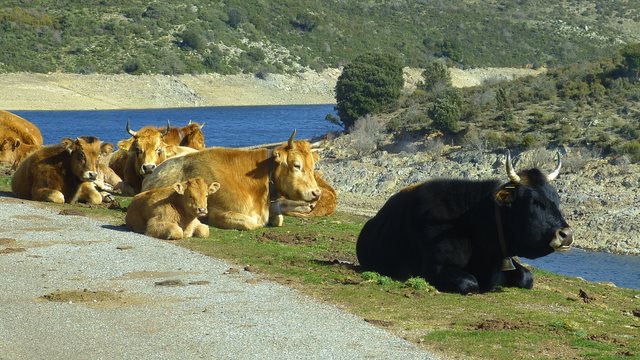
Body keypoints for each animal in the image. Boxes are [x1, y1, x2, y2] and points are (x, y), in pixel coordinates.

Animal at [140, 131, 320, 229]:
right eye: (296, 165)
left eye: (313, 166)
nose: (316, 193)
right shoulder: (218, 212)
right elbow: (252, 223)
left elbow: (279, 218)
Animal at [358, 150, 572, 294]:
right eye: (533, 201)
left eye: (556, 199)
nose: (566, 234)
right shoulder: (436, 267)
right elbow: (470, 283)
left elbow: (527, 277)